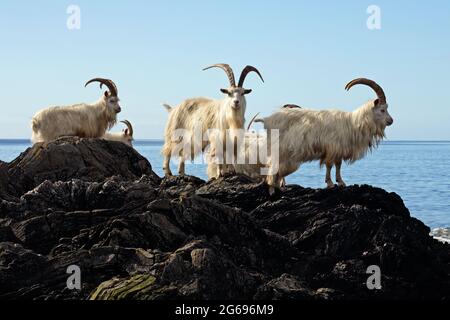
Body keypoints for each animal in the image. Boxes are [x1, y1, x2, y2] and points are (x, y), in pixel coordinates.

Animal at [260, 78, 394, 190]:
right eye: (382, 110)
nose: (391, 121)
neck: (353, 123)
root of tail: (268, 119)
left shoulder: (339, 149)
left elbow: (338, 165)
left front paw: (341, 182)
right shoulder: (331, 147)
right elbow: (329, 165)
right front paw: (330, 183)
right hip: (281, 149)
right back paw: (277, 185)